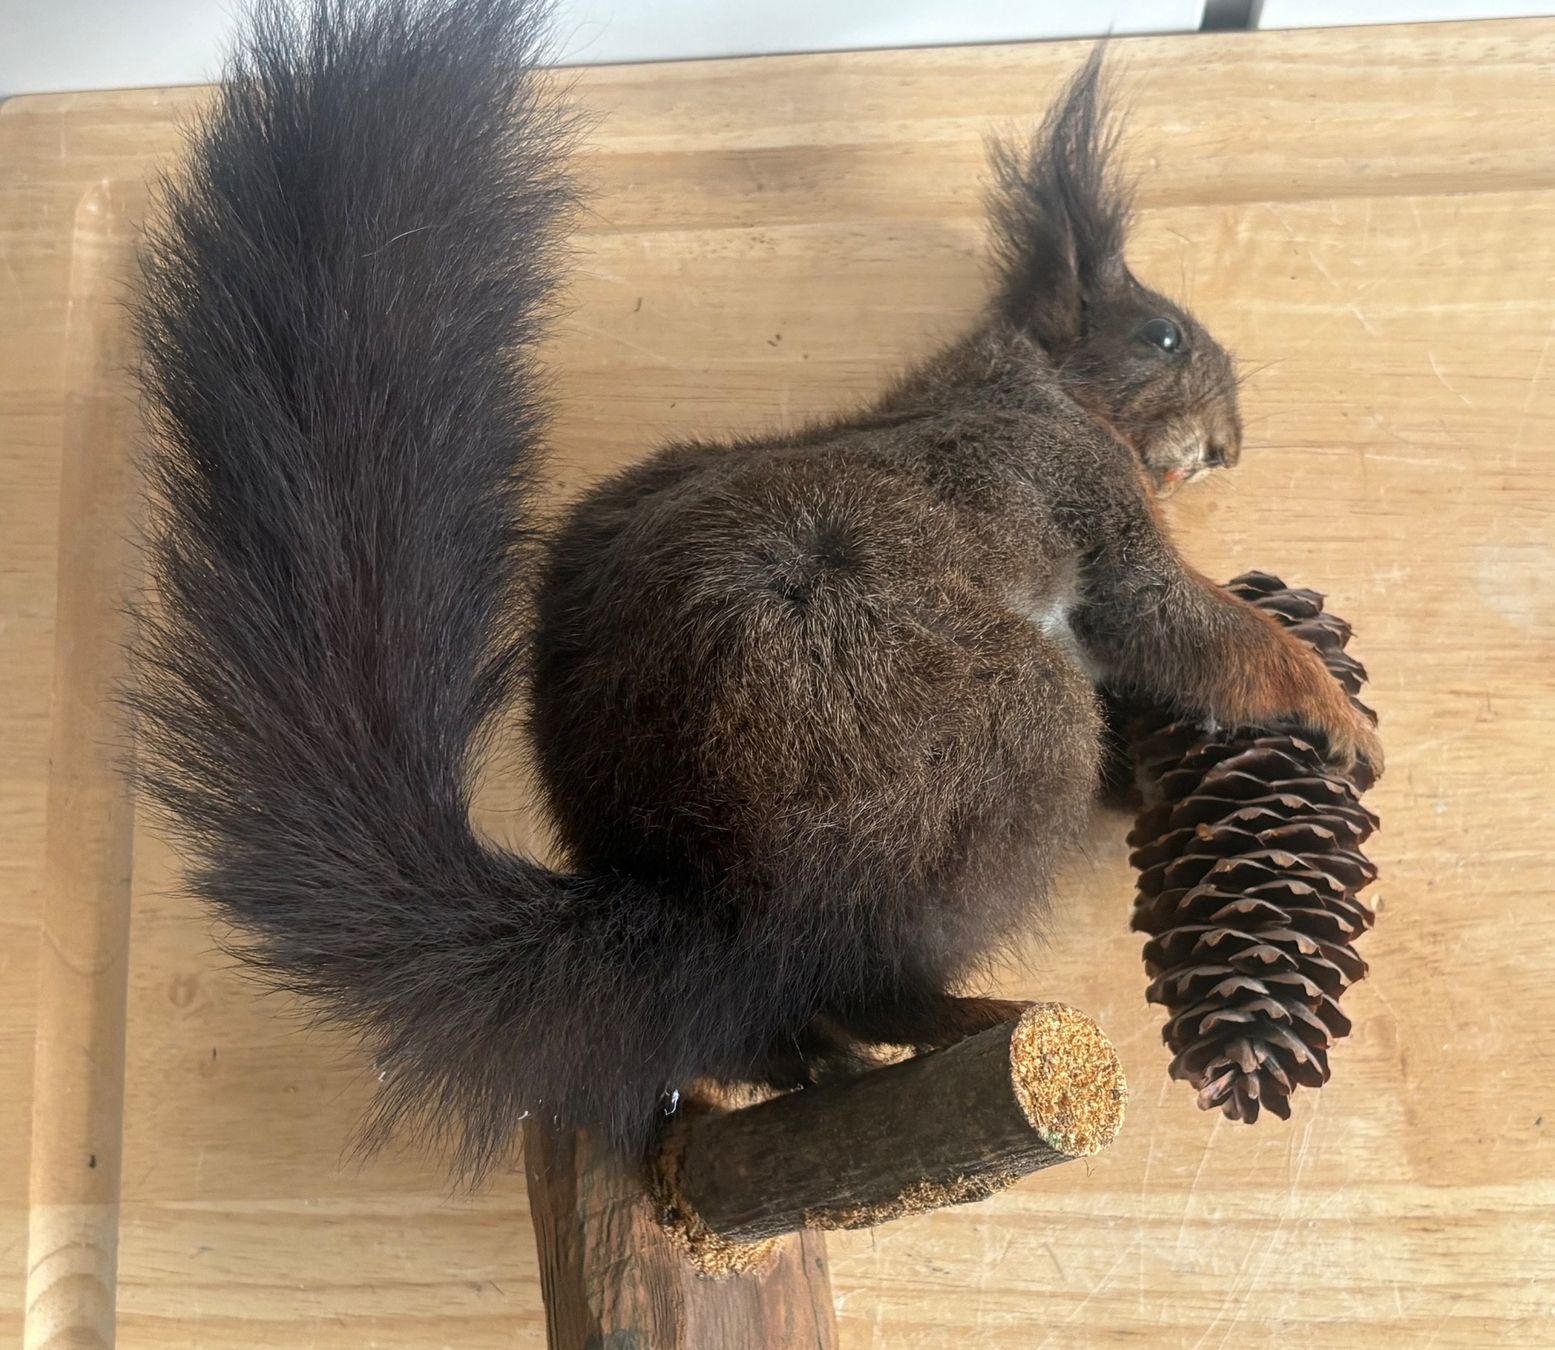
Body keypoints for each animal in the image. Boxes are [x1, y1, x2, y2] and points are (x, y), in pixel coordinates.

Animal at [130, 0, 1383, 1180]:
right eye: (1160, 335)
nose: (1230, 443)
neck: (1032, 384)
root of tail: (708, 896)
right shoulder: (1076, 495)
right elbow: (1182, 626)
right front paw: (1333, 707)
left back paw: (808, 1059)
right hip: (1002, 730)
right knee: (868, 970)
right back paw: (961, 1013)